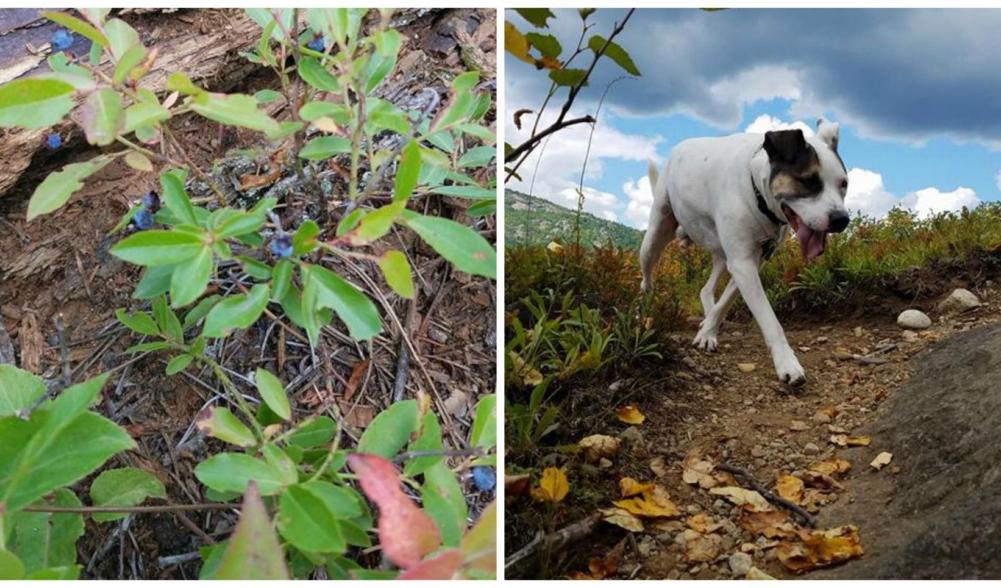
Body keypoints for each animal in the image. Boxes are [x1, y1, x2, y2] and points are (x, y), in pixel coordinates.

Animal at [640, 119, 852, 386]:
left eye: (844, 184)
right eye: (808, 181)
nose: (841, 220)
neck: (756, 191)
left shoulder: (750, 262)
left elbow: (725, 301)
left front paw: (708, 330)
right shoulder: (742, 264)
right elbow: (770, 320)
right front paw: (787, 363)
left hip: (721, 254)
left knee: (707, 289)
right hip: (656, 234)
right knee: (647, 275)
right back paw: (644, 308)